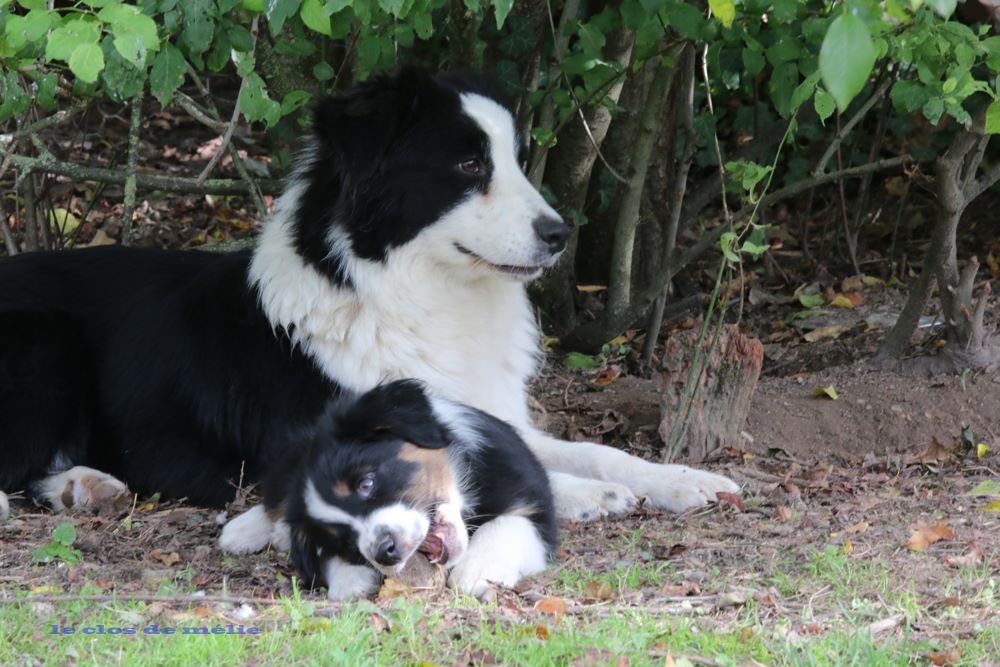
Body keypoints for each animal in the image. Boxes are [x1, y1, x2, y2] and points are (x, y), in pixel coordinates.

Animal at [0, 68, 736, 532]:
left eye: (516, 160)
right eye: (469, 165)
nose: (558, 235)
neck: (410, 296)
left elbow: (593, 448)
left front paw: (681, 479)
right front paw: (592, 495)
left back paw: (82, 484)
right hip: (43, 343)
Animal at [262, 378, 560, 604]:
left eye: (366, 483)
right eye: (345, 541)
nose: (385, 552)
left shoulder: (534, 499)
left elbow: (504, 524)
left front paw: (476, 570)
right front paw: (349, 578)